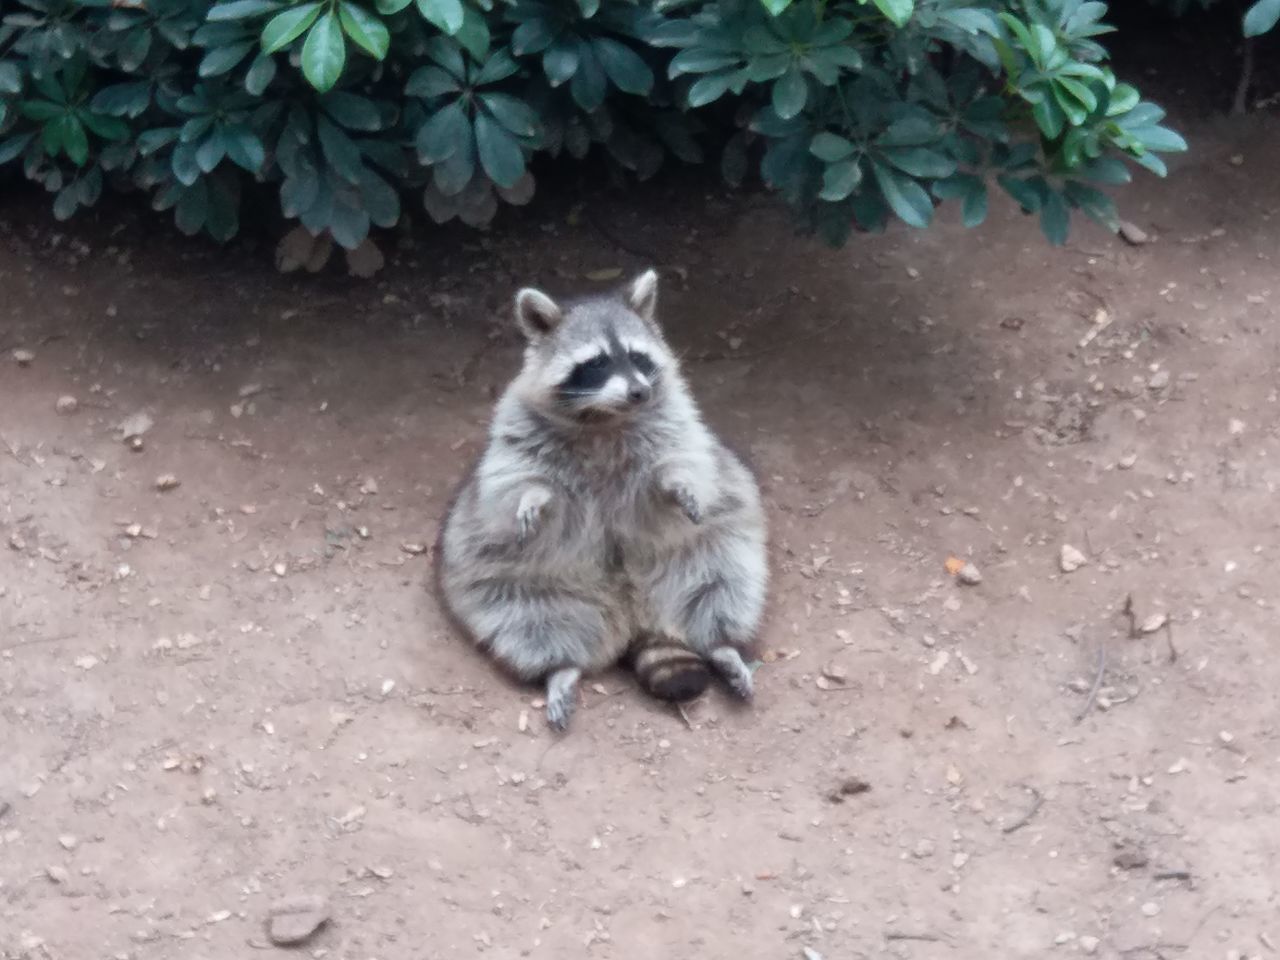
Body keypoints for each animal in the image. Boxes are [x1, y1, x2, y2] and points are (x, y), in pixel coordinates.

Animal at [435, 268, 762, 727]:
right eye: (597, 363)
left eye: (638, 357)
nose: (639, 392)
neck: (605, 418)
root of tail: (635, 616)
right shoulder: (516, 429)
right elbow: (514, 479)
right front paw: (532, 499)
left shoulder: (675, 421)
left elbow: (683, 459)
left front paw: (679, 484)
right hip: (506, 582)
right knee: (525, 620)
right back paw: (560, 668)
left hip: (713, 546)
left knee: (724, 580)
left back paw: (722, 645)